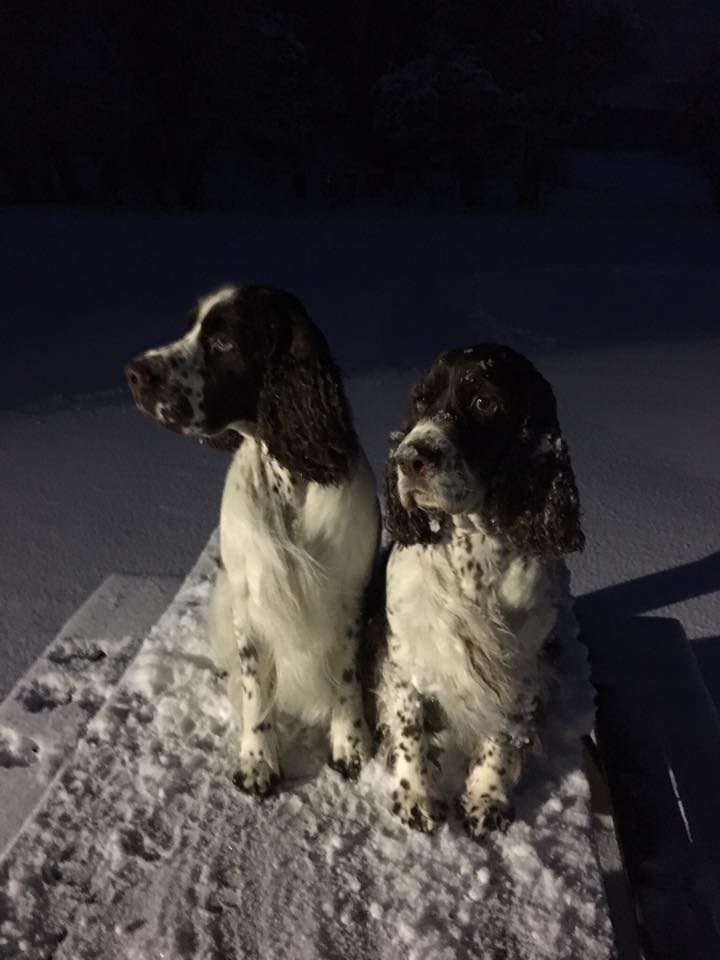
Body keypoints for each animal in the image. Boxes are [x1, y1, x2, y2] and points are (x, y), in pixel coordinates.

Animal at [126, 284, 380, 796]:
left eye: (222, 341)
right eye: (189, 327)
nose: (134, 372)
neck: (292, 481)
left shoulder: (348, 596)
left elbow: (345, 677)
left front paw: (351, 745)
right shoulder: (250, 599)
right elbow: (255, 685)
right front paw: (258, 761)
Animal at [376, 344, 584, 840]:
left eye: (484, 403)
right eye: (420, 401)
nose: (409, 458)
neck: (474, 557)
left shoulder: (523, 669)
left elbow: (504, 737)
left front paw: (486, 800)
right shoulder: (405, 657)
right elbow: (410, 728)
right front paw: (417, 798)